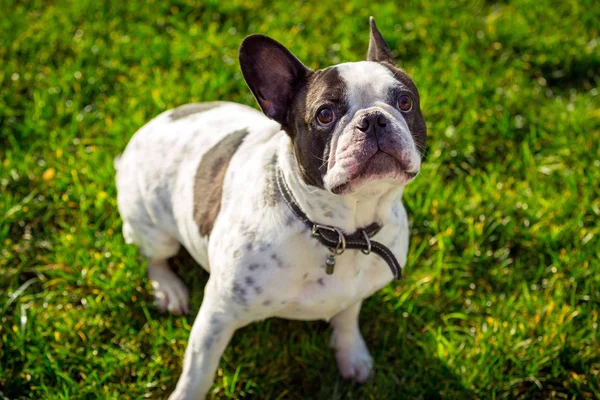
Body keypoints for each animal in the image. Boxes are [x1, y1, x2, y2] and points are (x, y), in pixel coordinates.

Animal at [116, 17, 426, 398]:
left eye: (405, 101)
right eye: (325, 115)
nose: (374, 118)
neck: (341, 230)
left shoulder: (354, 293)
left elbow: (347, 318)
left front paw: (352, 355)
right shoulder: (217, 314)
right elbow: (198, 371)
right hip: (152, 228)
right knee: (155, 257)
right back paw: (168, 289)